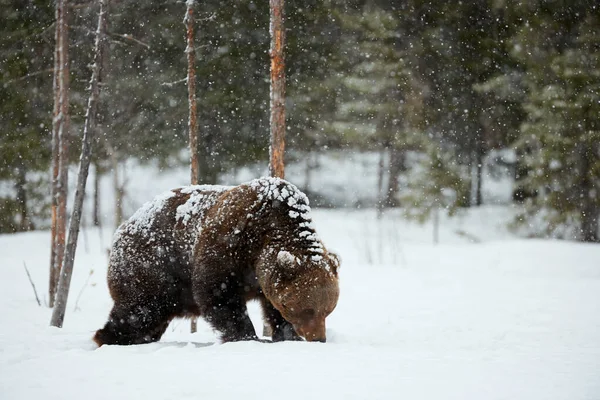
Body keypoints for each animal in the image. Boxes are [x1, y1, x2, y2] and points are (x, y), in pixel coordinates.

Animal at [92, 177, 338, 346]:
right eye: (307, 309)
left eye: (328, 310)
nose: (319, 338)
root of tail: (123, 226)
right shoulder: (229, 241)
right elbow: (217, 293)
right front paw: (248, 336)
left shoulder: (264, 277)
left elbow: (272, 306)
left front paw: (286, 335)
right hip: (153, 267)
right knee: (139, 310)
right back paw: (108, 337)